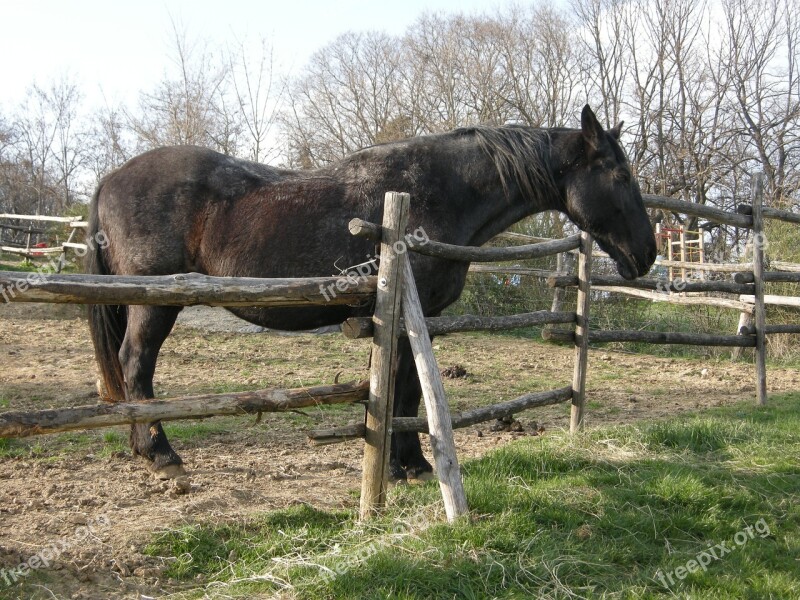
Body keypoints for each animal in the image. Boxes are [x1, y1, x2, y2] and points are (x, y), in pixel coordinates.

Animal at [86, 103, 656, 478]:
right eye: (620, 174)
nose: (646, 255)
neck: (434, 191)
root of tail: (110, 177)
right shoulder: (414, 317)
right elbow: (406, 387)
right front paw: (414, 464)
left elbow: (400, 389)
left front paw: (401, 462)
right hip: (154, 304)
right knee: (136, 365)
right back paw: (161, 454)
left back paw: (143, 449)